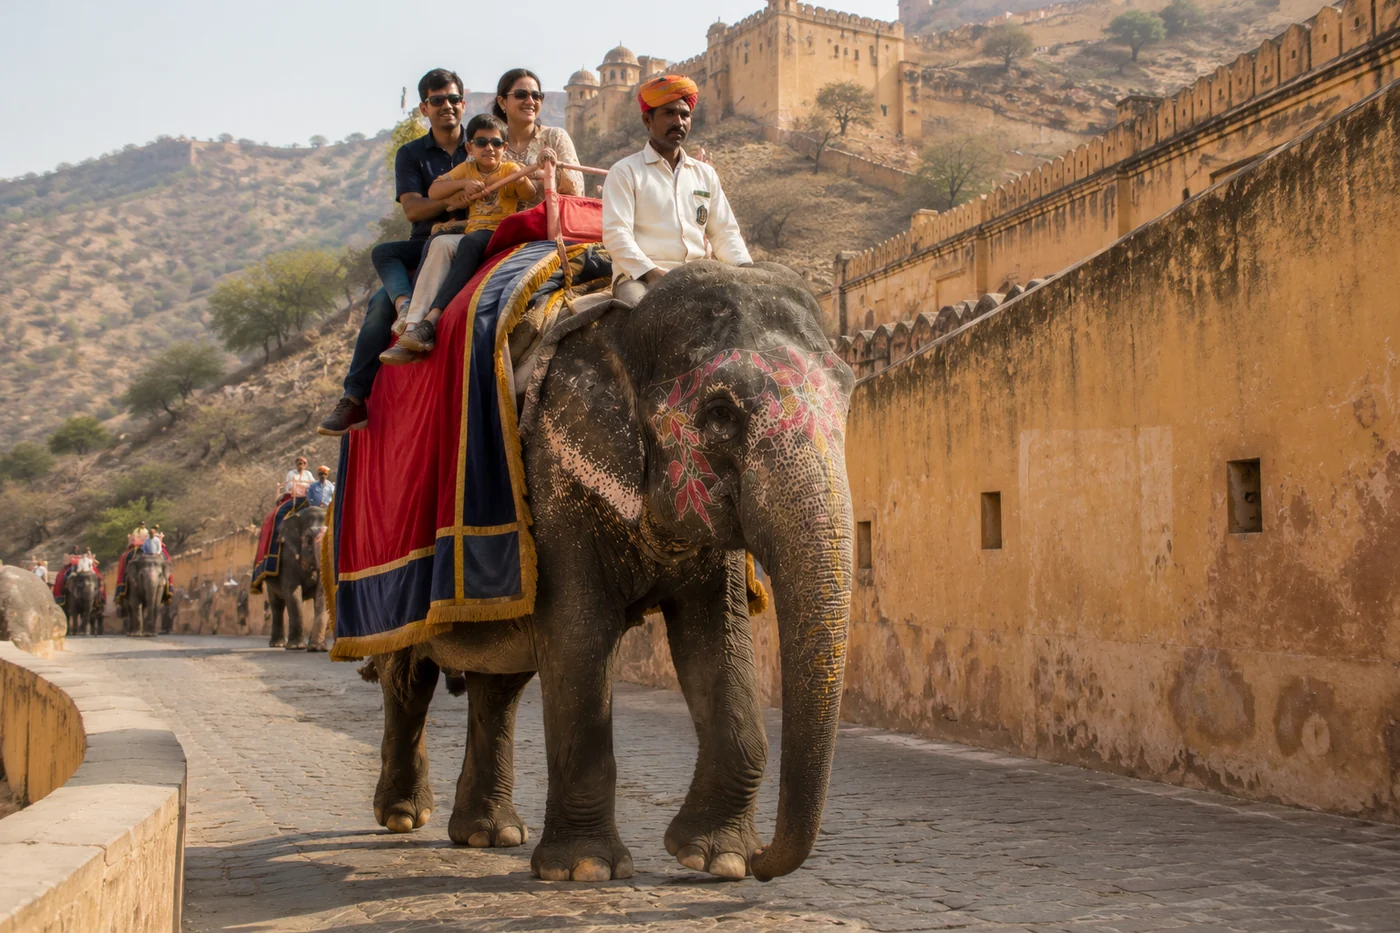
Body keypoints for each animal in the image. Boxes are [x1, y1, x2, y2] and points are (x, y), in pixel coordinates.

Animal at [265, 504, 328, 651]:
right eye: (308, 539)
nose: (317, 648)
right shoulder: (287, 556)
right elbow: (293, 591)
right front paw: (296, 647)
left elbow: (321, 593)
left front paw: (317, 647)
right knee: (277, 605)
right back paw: (277, 644)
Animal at [367, 262, 854, 884]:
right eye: (720, 413)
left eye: (849, 394)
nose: (768, 861)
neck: (625, 329)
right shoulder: (556, 479)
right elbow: (579, 635)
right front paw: (585, 870)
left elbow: (716, 641)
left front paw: (717, 859)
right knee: (407, 677)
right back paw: (405, 817)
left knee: (499, 685)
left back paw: (488, 834)